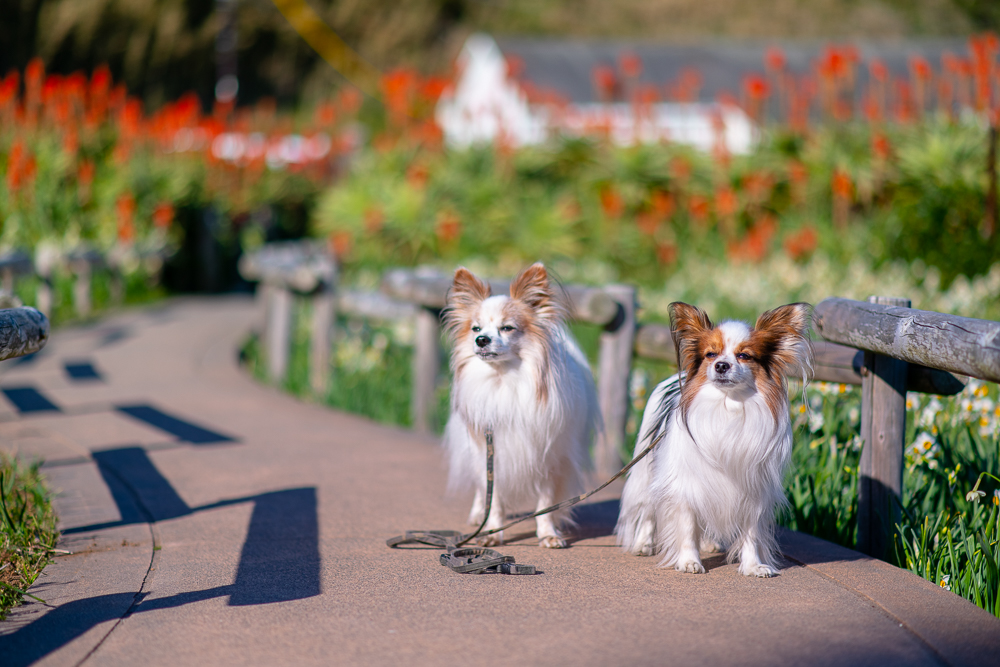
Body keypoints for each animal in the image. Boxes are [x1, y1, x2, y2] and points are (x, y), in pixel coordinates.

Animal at [442, 264, 596, 552]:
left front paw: (548, 534)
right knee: (481, 487)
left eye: (507, 328)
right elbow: (494, 497)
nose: (481, 340)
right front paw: (491, 531)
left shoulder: (550, 456)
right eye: (475, 328)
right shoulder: (493, 450)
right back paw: (478, 514)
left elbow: (545, 502)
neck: (504, 380)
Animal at [616, 304, 812, 580]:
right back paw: (644, 544)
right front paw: (689, 561)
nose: (721, 365)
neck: (727, 405)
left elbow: (751, 533)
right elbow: (687, 525)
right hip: (648, 472)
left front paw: (753, 566)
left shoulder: (753, 488)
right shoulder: (685, 483)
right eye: (710, 354)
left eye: (744, 356)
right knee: (647, 509)